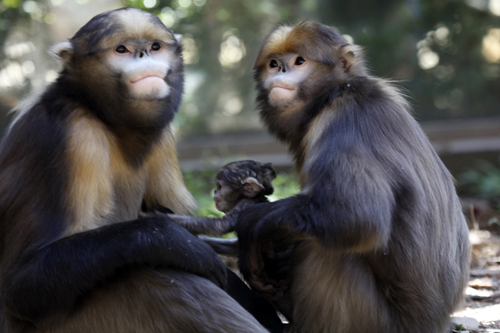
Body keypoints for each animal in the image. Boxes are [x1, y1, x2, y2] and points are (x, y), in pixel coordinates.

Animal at [0, 7, 270, 332]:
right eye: (122, 50)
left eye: (154, 47)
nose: (143, 54)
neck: (104, 117)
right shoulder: (70, 136)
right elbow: (21, 285)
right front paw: (181, 244)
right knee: (147, 271)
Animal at [236, 22, 470, 330]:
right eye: (274, 64)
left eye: (299, 61)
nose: (282, 70)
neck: (333, 94)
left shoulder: (345, 119)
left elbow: (357, 216)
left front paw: (249, 228)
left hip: (378, 321)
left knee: (327, 250)